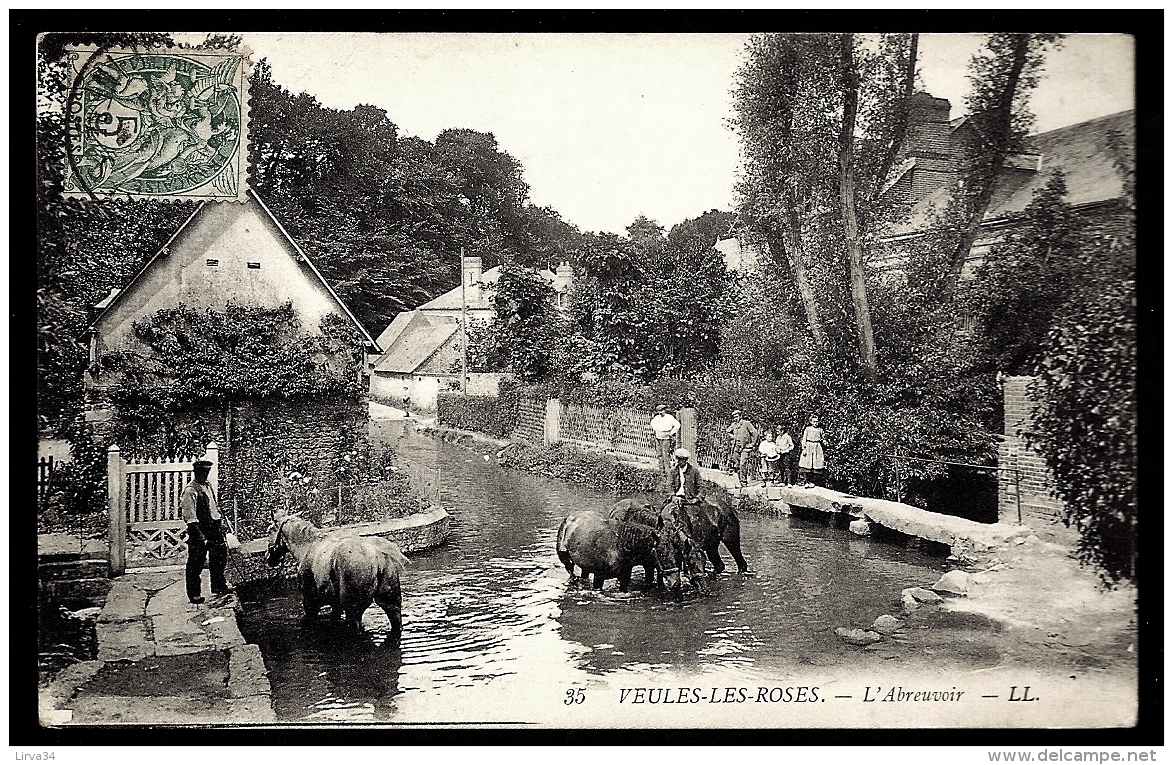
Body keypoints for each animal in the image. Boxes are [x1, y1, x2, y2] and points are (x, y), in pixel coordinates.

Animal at [267, 516, 410, 638]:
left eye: (270, 531)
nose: (268, 559)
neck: (308, 547)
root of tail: (377, 554)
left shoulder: (310, 602)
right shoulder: (336, 605)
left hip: (353, 611)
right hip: (391, 604)